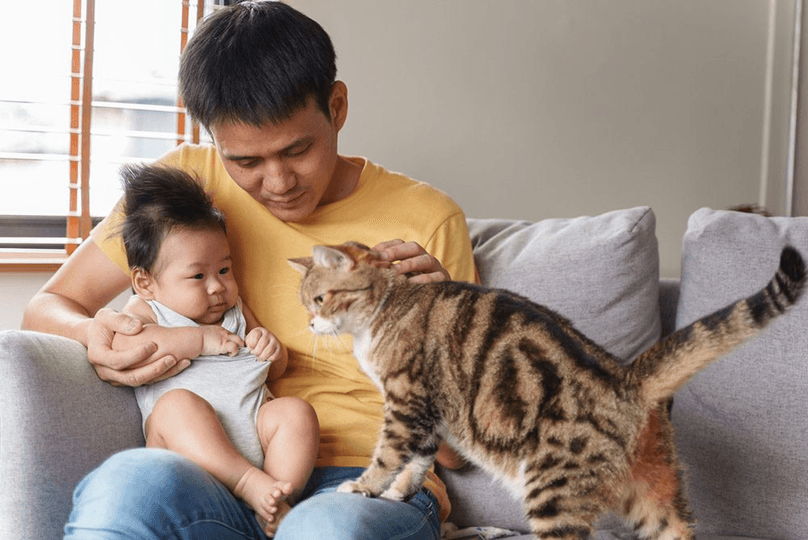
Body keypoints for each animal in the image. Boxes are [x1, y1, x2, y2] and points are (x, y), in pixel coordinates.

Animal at [288, 243, 804, 536]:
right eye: (306, 304)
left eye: (320, 298)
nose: (309, 322)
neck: (388, 308)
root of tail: (628, 378)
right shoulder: (430, 415)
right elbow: (417, 462)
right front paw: (398, 493)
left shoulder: (407, 401)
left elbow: (388, 454)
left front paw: (364, 487)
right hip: (654, 494)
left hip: (554, 491)